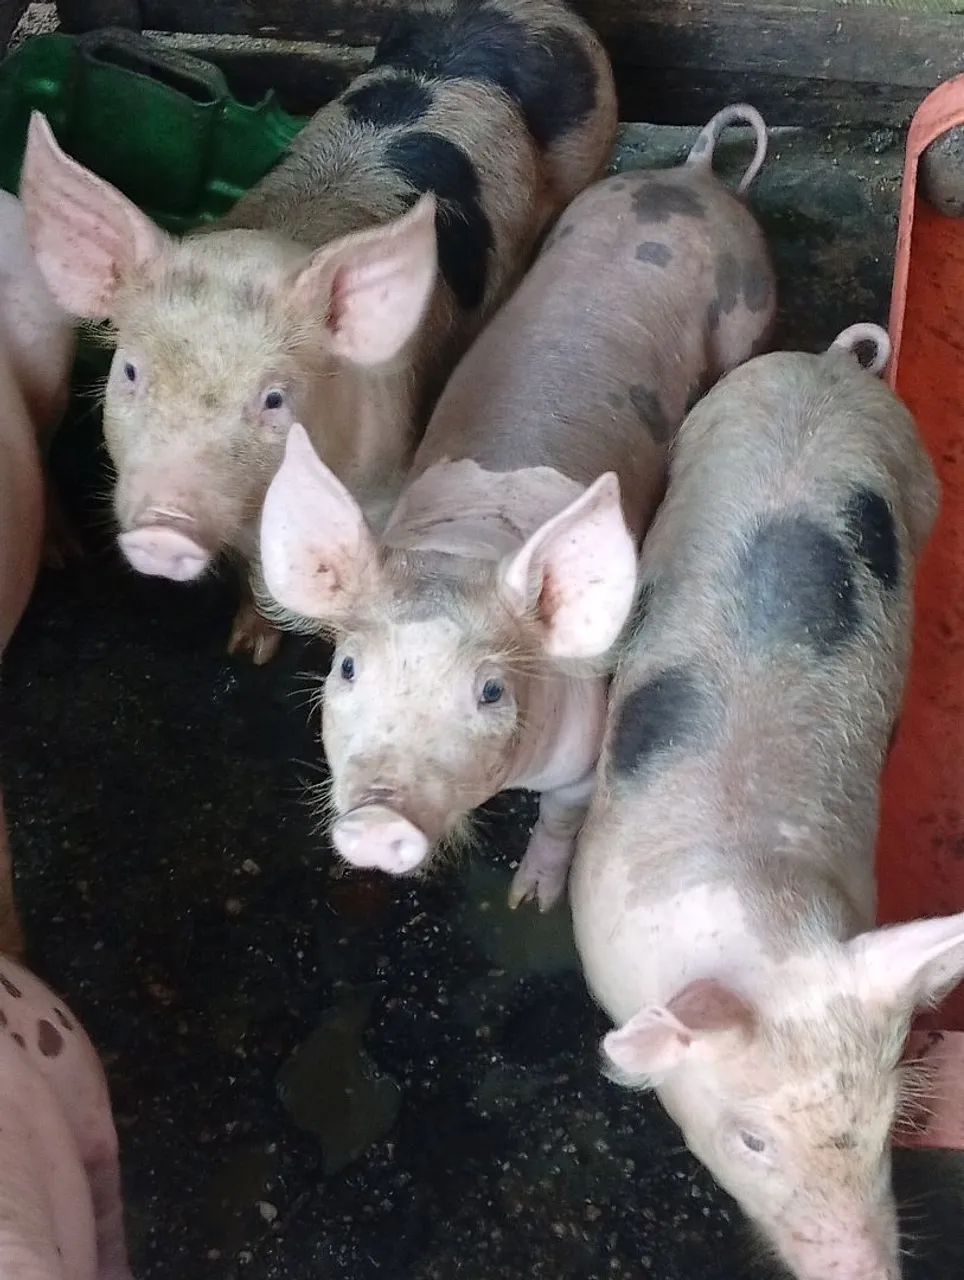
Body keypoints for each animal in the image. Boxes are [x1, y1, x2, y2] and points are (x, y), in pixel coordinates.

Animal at [257, 104, 776, 910]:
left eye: (491, 690)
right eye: (346, 667)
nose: (378, 817)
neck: (463, 550)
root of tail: (694, 176)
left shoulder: (584, 751)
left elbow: (562, 819)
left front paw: (529, 901)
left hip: (751, 312)